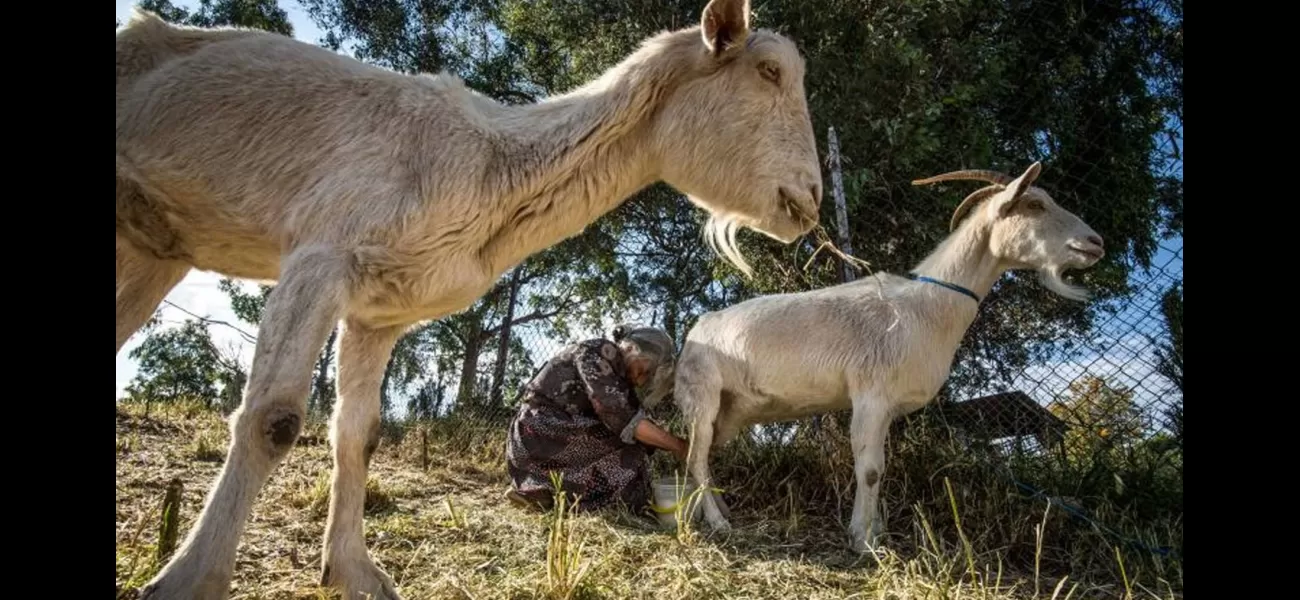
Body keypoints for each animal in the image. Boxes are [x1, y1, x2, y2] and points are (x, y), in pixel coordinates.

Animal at [670, 161, 1107, 550]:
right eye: (1034, 203)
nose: (1095, 243)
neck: (926, 307)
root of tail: (696, 331)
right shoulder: (871, 395)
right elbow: (870, 470)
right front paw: (863, 541)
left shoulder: (888, 407)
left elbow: (880, 466)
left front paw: (876, 530)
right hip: (702, 398)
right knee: (695, 458)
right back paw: (719, 524)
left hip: (731, 412)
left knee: (702, 457)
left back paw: (710, 513)